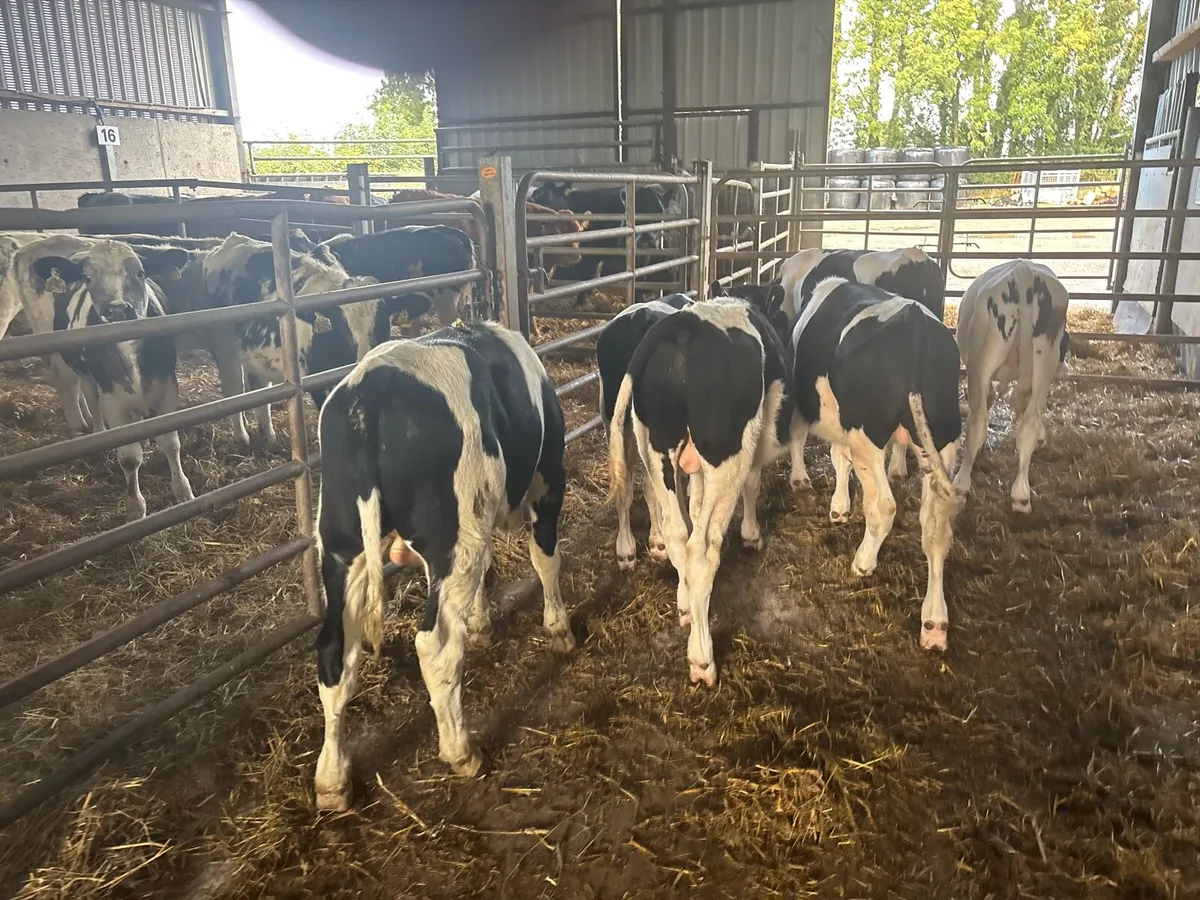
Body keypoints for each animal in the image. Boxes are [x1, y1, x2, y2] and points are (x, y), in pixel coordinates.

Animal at [2, 235, 194, 520]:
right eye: (87, 278)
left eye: (140, 273)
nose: (117, 310)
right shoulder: (112, 398)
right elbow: (129, 457)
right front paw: (136, 508)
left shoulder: (167, 389)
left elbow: (171, 443)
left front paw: (184, 493)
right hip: (57, 354)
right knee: (71, 390)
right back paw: (87, 432)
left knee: (88, 393)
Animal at [311, 320, 574, 810]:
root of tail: (367, 396)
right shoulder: (547, 481)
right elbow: (545, 558)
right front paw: (559, 630)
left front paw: (482, 624)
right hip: (451, 539)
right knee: (435, 644)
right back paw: (461, 752)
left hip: (342, 547)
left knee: (334, 652)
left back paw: (332, 780)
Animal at [606, 298, 794, 687]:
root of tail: (683, 326)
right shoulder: (756, 440)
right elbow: (752, 484)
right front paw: (752, 535)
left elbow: (692, 507)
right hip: (727, 453)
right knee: (703, 549)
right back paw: (702, 658)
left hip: (653, 444)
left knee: (676, 533)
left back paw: (683, 603)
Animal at [790, 277, 962, 649]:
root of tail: (915, 324)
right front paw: (840, 507)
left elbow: (818, 447)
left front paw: (818, 494)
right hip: (943, 438)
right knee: (936, 528)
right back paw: (934, 621)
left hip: (866, 432)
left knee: (884, 506)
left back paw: (863, 562)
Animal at [951, 259, 1071, 513]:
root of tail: (1023, 271)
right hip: (1044, 360)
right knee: (1029, 422)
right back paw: (1021, 495)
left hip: (982, 361)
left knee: (977, 420)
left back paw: (961, 485)